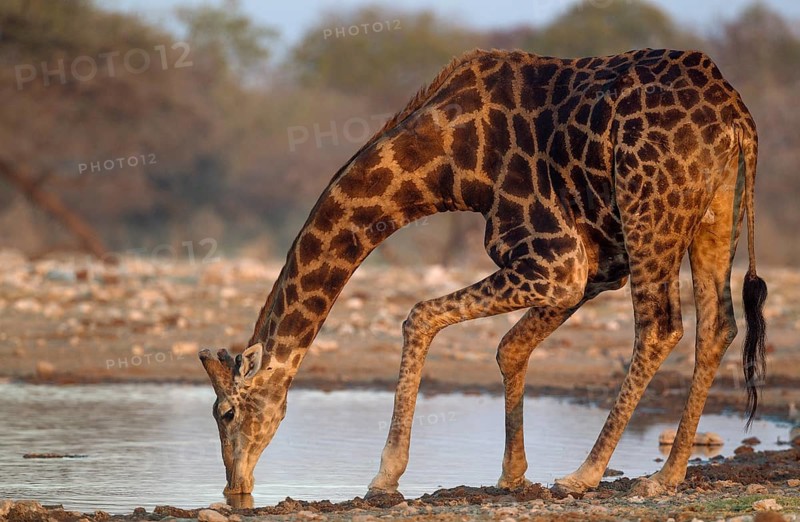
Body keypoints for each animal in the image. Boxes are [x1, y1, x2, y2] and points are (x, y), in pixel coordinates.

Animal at [200, 48, 767, 498]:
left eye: (225, 413)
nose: (235, 486)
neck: (448, 163)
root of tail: (735, 115)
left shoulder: (557, 260)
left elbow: (419, 316)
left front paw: (386, 475)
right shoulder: (593, 269)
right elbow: (509, 347)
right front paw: (512, 473)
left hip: (650, 210)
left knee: (660, 326)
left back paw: (584, 474)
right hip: (715, 209)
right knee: (718, 325)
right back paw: (666, 476)